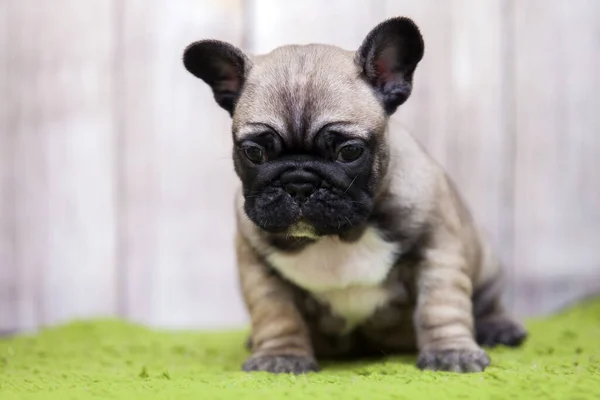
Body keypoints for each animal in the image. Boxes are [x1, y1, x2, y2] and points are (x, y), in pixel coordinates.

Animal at [182, 14, 524, 372]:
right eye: (253, 152)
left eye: (349, 151)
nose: (299, 182)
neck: (339, 237)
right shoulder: (260, 271)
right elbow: (277, 315)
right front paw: (280, 356)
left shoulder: (437, 251)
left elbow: (441, 307)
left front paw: (451, 352)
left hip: (485, 262)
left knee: (486, 300)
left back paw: (499, 327)